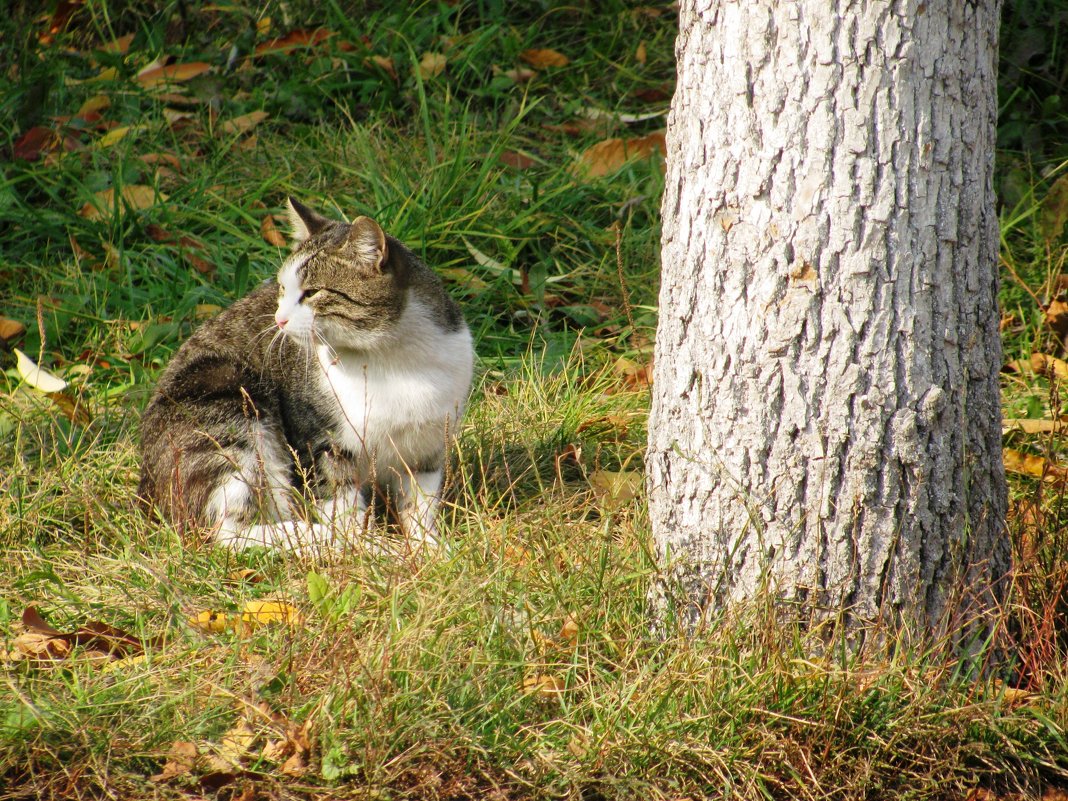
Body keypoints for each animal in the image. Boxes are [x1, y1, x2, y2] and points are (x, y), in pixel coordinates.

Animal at [139, 199, 474, 551]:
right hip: (226, 402)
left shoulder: (429, 445)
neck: (392, 359)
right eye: (283, 288)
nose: (279, 319)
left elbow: (420, 504)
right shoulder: (322, 441)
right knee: (224, 532)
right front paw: (361, 546)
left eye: (312, 293)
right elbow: (341, 502)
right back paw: (320, 537)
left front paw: (429, 548)